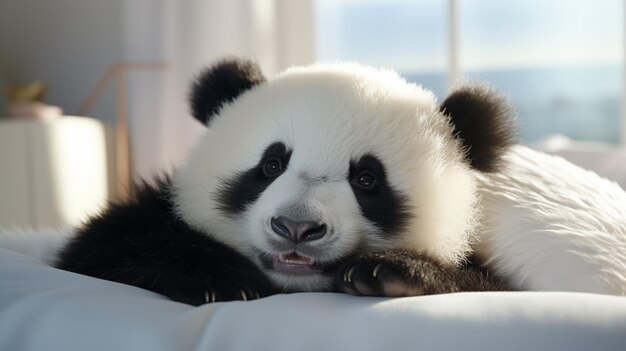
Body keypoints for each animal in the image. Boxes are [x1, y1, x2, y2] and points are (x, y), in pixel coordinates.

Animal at [4, 58, 624, 306]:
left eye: (367, 178)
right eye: (271, 164)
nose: (296, 228)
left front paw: (391, 274)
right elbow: (104, 247)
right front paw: (218, 279)